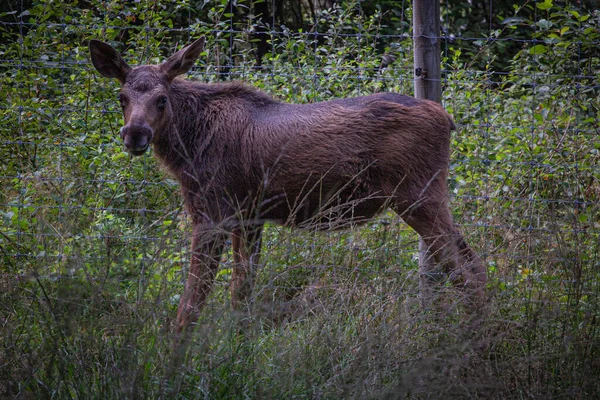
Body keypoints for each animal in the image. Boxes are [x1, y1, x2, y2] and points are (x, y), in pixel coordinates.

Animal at [88, 37, 488, 332]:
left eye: (161, 99)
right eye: (122, 98)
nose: (135, 134)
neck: (188, 145)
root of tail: (447, 119)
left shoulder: (212, 212)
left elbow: (192, 302)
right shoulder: (249, 216)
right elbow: (240, 291)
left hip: (418, 196)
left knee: (464, 272)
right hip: (428, 199)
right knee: (475, 264)